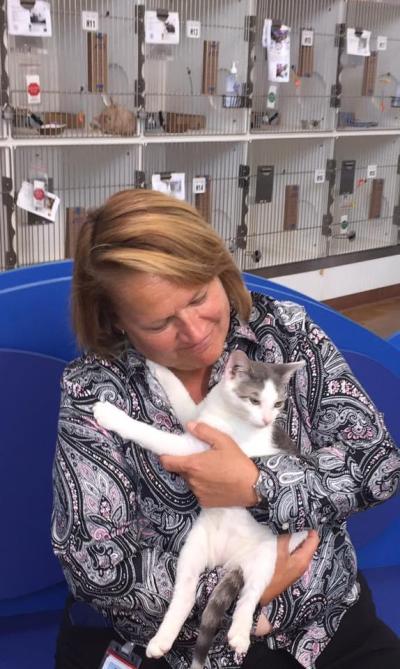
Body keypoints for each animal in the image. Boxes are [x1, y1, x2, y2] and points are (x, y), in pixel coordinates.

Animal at [93, 348, 306, 664]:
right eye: (254, 400)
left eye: (278, 403)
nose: (268, 420)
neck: (227, 413)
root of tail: (229, 559)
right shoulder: (197, 419)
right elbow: (181, 396)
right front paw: (159, 368)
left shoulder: (196, 450)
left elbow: (154, 435)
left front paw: (113, 416)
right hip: (194, 550)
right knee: (185, 595)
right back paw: (162, 640)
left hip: (267, 557)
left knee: (250, 596)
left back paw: (239, 634)